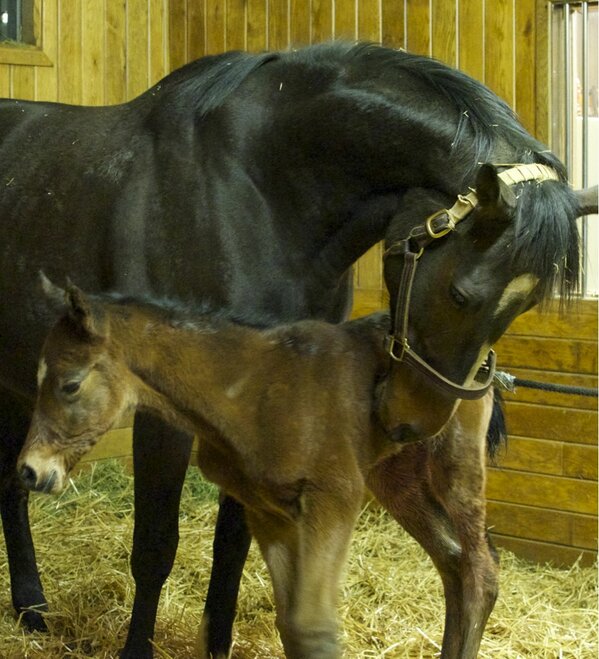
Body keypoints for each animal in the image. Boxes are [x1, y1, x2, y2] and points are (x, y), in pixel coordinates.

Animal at [0, 41, 595, 658]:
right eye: (461, 294)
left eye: (526, 306)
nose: (412, 426)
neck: (258, 193)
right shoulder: (161, 412)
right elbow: (155, 546)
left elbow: (233, 544)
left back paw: (32, 607)